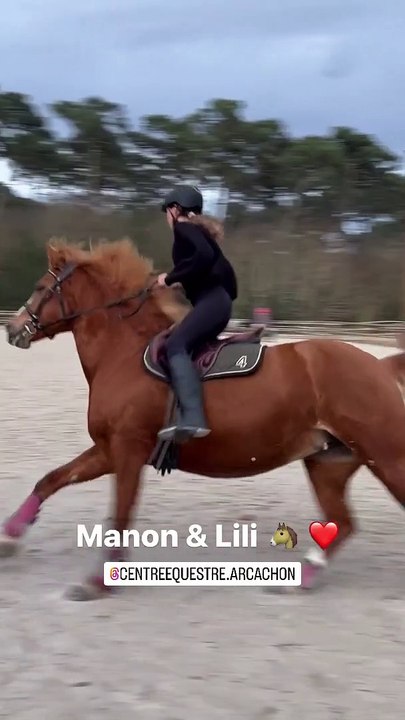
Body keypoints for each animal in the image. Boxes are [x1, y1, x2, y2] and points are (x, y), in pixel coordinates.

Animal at [4, 237, 405, 600]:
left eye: (40, 287)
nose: (12, 328)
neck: (123, 354)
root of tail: (380, 366)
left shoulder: (128, 451)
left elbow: (120, 515)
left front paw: (97, 582)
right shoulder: (108, 450)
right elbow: (51, 480)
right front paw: (10, 534)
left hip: (387, 459)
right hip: (329, 462)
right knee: (343, 523)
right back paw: (300, 579)